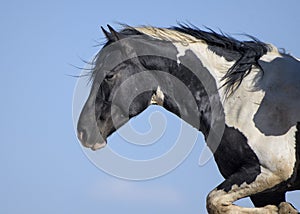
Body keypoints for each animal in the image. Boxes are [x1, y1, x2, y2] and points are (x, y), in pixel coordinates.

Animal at [77, 24, 300, 213]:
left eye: (109, 75)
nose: (83, 131)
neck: (241, 99)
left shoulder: (270, 172)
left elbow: (213, 201)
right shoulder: (265, 190)